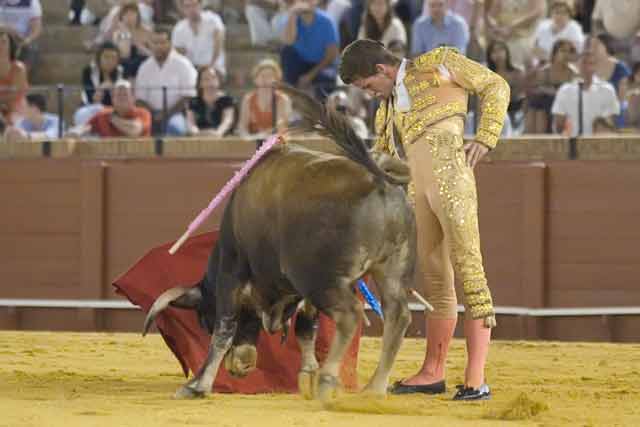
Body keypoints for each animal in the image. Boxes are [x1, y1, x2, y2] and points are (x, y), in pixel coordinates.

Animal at [142, 87, 418, 402]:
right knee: (398, 316)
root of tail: (377, 180)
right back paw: (374, 388)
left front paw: (197, 386)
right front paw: (307, 374)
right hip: (392, 270)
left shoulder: (231, 275)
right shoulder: (298, 294)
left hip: (320, 279)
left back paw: (329, 380)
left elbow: (224, 331)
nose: (239, 365)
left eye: (204, 320)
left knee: (350, 315)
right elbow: (305, 327)